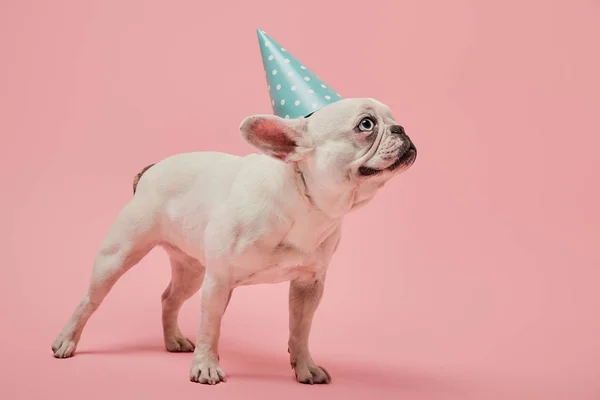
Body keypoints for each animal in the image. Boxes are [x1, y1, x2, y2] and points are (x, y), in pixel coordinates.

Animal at [51, 96, 418, 384]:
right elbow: (211, 327)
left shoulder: (308, 286)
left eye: (392, 118)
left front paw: (305, 368)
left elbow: (300, 330)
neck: (308, 205)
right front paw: (205, 368)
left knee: (169, 298)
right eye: (366, 124)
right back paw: (66, 341)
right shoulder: (219, 281)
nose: (401, 128)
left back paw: (173, 340)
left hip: (192, 271)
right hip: (118, 256)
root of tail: (151, 170)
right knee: (90, 301)